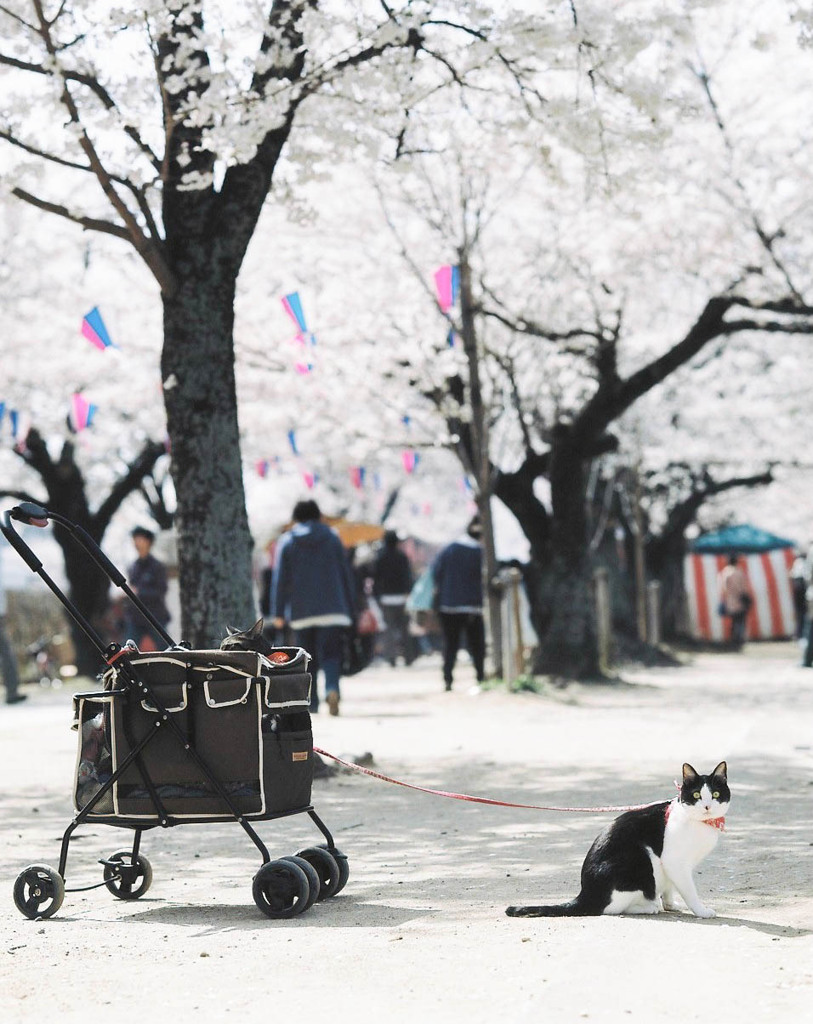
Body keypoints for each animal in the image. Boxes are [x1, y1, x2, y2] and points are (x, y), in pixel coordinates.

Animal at [507, 761, 729, 921]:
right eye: (697, 794)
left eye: (716, 794)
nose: (707, 807)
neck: (701, 823)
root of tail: (585, 895)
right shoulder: (674, 861)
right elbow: (689, 891)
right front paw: (701, 911)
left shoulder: (673, 868)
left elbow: (669, 887)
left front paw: (670, 904)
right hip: (641, 861)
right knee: (610, 908)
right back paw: (648, 907)